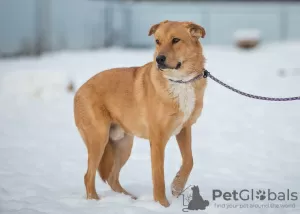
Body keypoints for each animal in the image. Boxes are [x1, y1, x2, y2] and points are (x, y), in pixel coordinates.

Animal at [74, 20, 207, 207]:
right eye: (157, 41)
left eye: (175, 40)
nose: (159, 59)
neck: (180, 81)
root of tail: (79, 90)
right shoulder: (157, 139)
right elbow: (158, 176)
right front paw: (162, 205)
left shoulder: (184, 129)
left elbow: (189, 160)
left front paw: (177, 186)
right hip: (98, 139)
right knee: (88, 176)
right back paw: (95, 201)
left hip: (123, 145)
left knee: (112, 178)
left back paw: (129, 199)